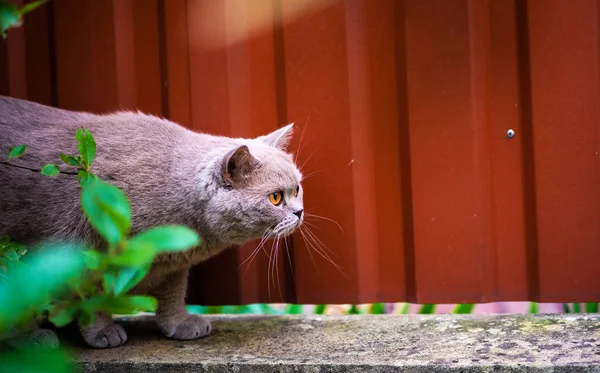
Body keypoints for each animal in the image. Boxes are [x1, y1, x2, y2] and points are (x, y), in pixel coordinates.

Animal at [0, 94, 302, 348]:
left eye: (297, 189)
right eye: (275, 198)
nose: (299, 212)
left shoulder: (174, 262)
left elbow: (173, 293)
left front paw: (180, 324)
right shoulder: (81, 247)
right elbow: (92, 294)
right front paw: (102, 332)